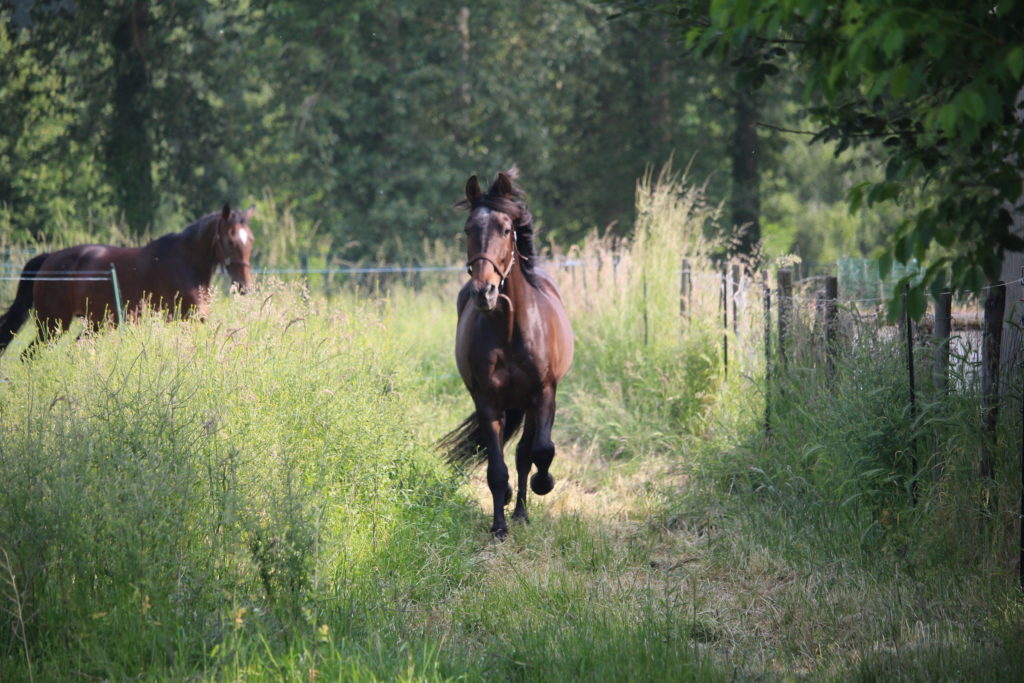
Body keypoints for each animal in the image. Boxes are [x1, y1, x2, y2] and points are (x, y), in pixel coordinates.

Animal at [0, 204, 255, 356]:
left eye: (250, 240)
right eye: (230, 241)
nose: (244, 287)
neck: (185, 262)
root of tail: (49, 258)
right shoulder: (185, 320)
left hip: (92, 324)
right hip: (53, 324)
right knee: (29, 355)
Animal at [439, 169, 574, 538]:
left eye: (505, 229)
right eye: (469, 229)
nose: (484, 292)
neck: (511, 330)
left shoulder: (543, 393)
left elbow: (540, 450)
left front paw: (543, 485)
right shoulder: (487, 400)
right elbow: (496, 468)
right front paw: (498, 526)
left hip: (529, 403)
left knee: (526, 453)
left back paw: (523, 511)